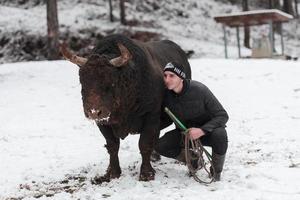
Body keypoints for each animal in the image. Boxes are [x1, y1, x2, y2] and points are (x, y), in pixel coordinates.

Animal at [60, 34, 192, 183]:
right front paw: (112, 172)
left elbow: (144, 144)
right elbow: (112, 146)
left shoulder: (151, 116)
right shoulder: (103, 123)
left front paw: (146, 174)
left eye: (111, 82)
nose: (94, 112)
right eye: (82, 81)